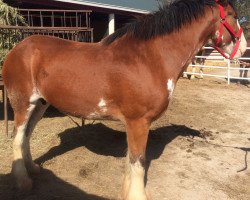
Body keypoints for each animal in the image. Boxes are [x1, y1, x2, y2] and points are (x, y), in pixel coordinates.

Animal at [1, 0, 247, 199]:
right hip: (22, 104)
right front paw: (137, 196)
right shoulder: (139, 121)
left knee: (26, 136)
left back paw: (33, 168)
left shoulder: (134, 123)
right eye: (233, 15)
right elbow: (138, 161)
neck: (150, 58)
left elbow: (131, 160)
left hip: (40, 104)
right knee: (17, 138)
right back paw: (23, 182)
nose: (243, 48)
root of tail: (17, 49)